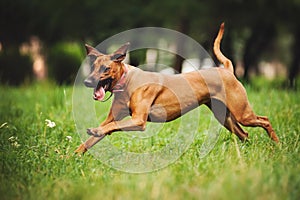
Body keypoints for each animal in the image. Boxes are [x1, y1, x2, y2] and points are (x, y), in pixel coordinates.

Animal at [75, 23, 278, 155]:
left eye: (106, 69)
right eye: (92, 66)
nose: (86, 81)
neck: (126, 82)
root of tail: (226, 69)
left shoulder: (138, 120)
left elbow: (111, 127)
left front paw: (96, 131)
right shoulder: (113, 118)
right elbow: (95, 136)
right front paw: (72, 157)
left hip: (242, 113)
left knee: (265, 120)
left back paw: (277, 144)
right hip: (225, 117)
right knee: (245, 134)